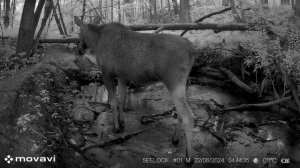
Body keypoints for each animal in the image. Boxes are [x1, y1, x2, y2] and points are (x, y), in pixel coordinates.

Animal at [74, 16, 197, 159]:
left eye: (79, 33)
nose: (79, 50)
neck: (96, 41)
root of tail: (193, 50)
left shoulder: (107, 73)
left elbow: (112, 101)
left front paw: (116, 127)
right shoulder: (122, 76)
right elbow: (121, 99)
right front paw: (122, 122)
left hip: (174, 81)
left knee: (188, 115)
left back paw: (189, 157)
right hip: (181, 83)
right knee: (180, 111)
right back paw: (175, 138)